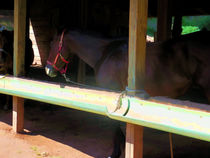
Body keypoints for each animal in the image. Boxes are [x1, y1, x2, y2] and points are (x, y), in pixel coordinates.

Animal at [45, 29, 210, 157]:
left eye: (53, 43)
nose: (48, 70)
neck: (105, 53)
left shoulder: (111, 95)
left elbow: (114, 125)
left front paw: (115, 153)